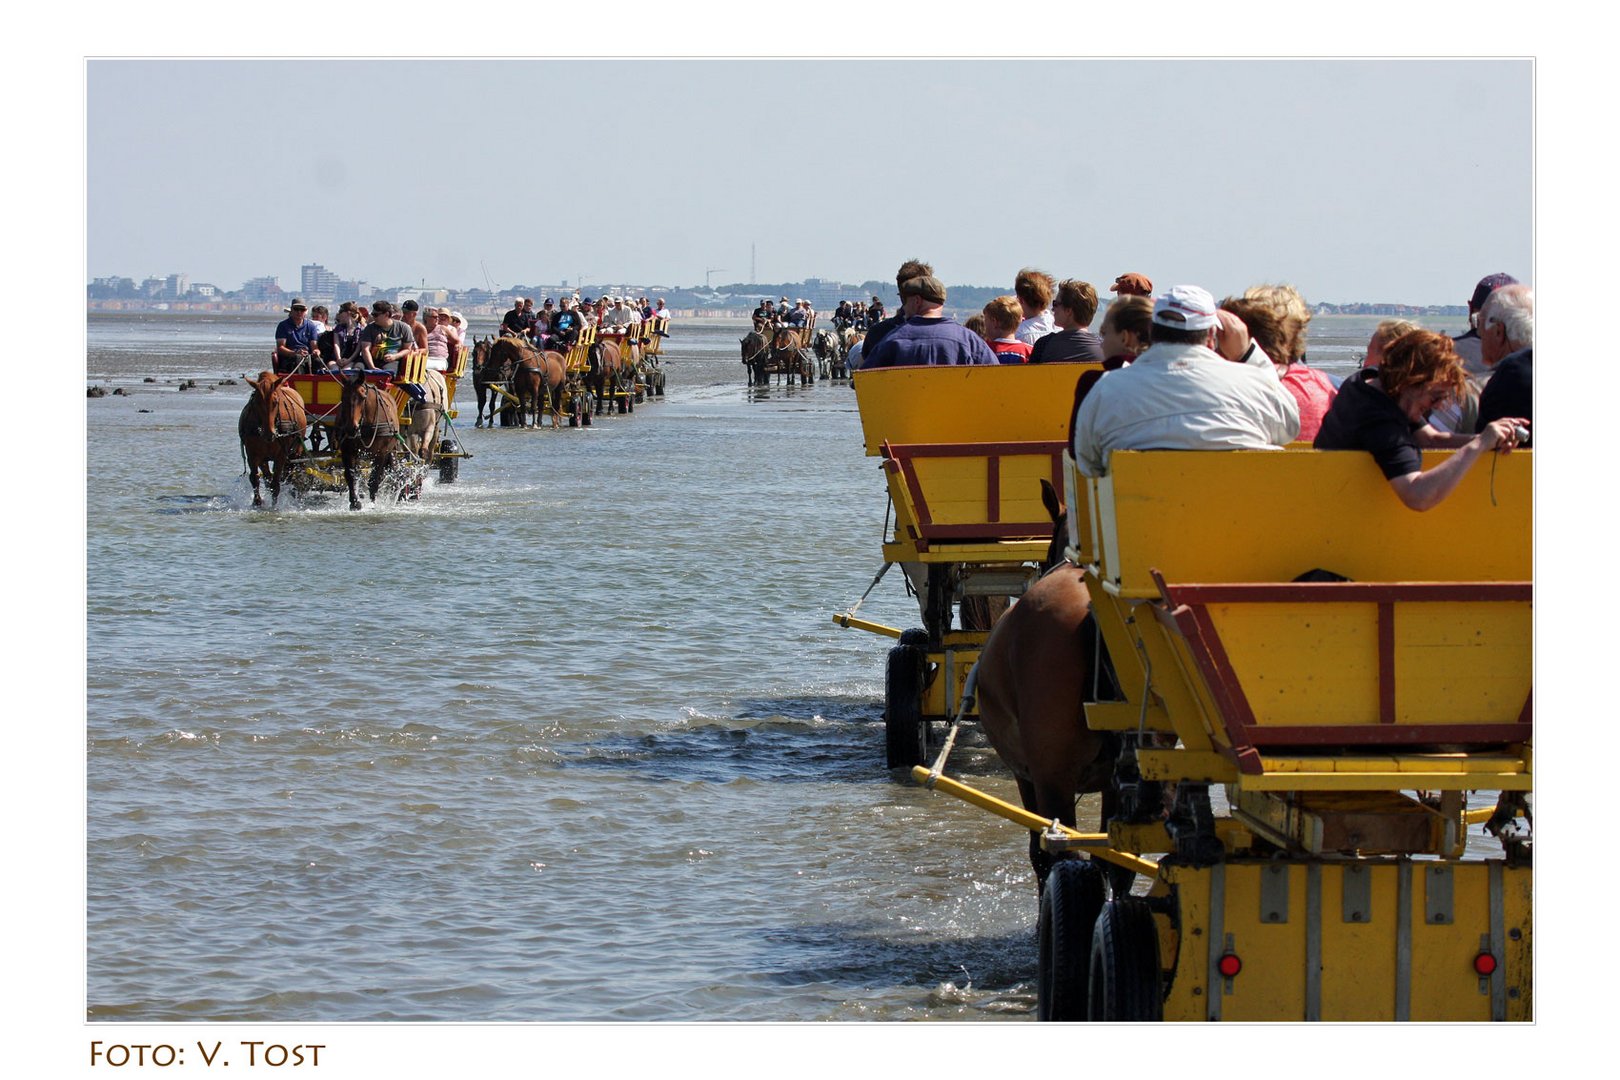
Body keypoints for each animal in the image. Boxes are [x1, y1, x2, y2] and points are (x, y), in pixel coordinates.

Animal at [236, 369, 306, 508]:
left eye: (275, 401)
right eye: (255, 402)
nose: (269, 434)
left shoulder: (281, 455)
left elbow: (275, 483)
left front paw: (274, 506)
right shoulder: (253, 454)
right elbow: (256, 478)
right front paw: (257, 502)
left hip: (296, 452)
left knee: (291, 475)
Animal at [333, 372, 400, 511]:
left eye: (363, 397)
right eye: (343, 397)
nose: (351, 428)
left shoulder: (381, 453)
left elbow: (374, 479)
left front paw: (372, 503)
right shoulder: (348, 451)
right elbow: (351, 475)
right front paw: (354, 502)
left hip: (390, 450)